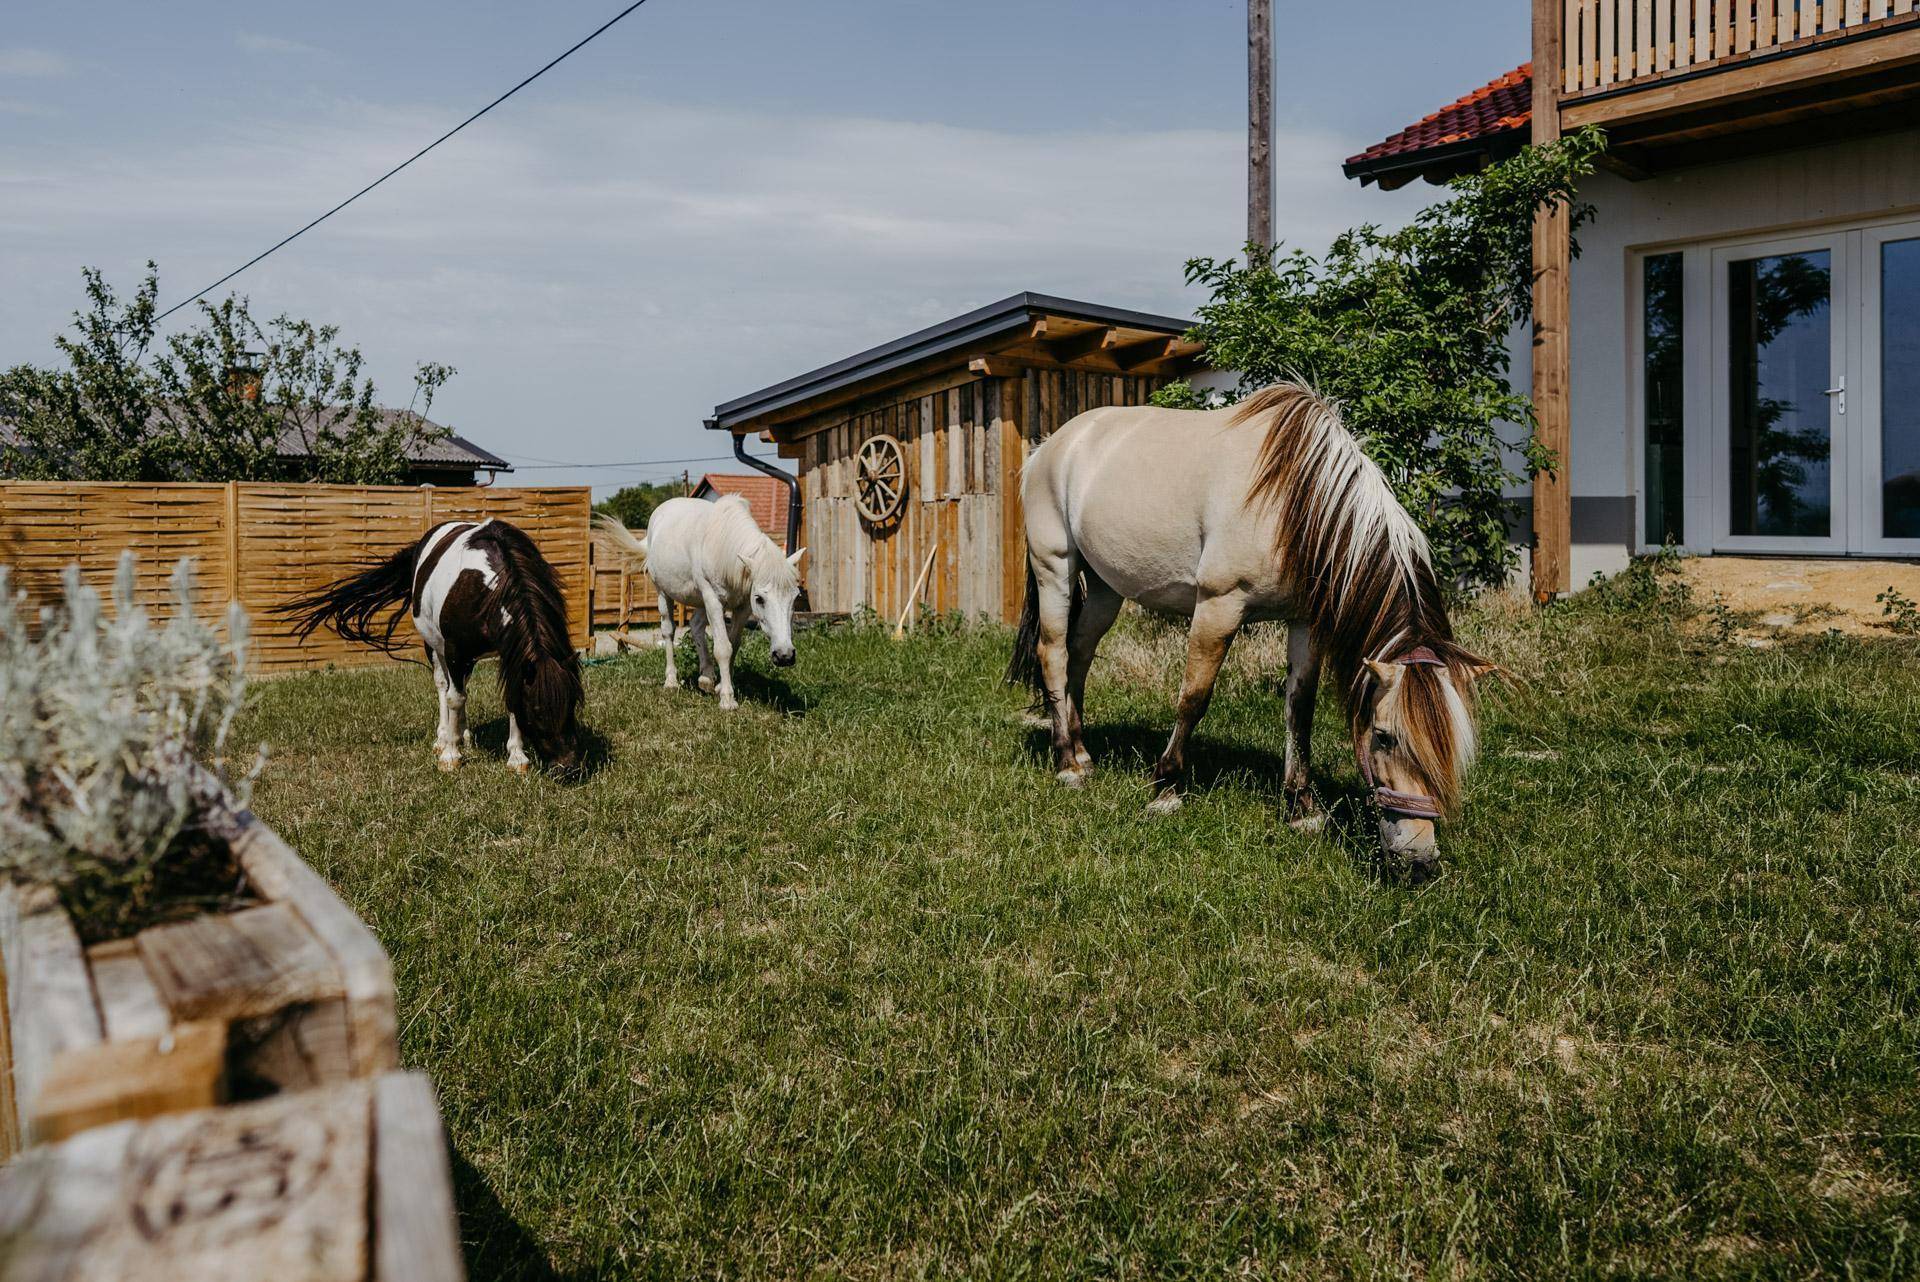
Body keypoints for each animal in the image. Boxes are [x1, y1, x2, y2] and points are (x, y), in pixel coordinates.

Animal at [282, 518, 586, 775]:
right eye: (538, 710)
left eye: (573, 703)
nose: (568, 767)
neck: (488, 584)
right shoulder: (454, 651)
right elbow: (453, 698)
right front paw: (450, 755)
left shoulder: (508, 652)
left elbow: (508, 696)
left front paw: (516, 757)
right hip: (435, 646)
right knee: (444, 686)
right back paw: (444, 737)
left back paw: (462, 733)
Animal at [594, 495, 804, 711]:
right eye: (760, 599)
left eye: (796, 597)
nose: (785, 656)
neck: (722, 546)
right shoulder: (713, 599)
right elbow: (723, 648)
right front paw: (727, 699)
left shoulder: (743, 607)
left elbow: (733, 644)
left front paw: (720, 686)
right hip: (664, 593)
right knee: (668, 631)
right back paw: (671, 681)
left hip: (701, 602)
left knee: (696, 627)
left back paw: (706, 678)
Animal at [1007, 381, 1494, 869]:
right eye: (1384, 737)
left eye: (1453, 746)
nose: (1419, 860)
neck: (1293, 497)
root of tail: (1050, 447)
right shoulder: (1219, 606)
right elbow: (1194, 697)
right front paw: (1166, 787)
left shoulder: (1304, 622)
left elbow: (1300, 709)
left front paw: (1301, 807)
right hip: (1056, 568)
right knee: (1054, 653)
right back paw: (1067, 764)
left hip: (1106, 587)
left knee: (1080, 653)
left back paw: (1083, 751)